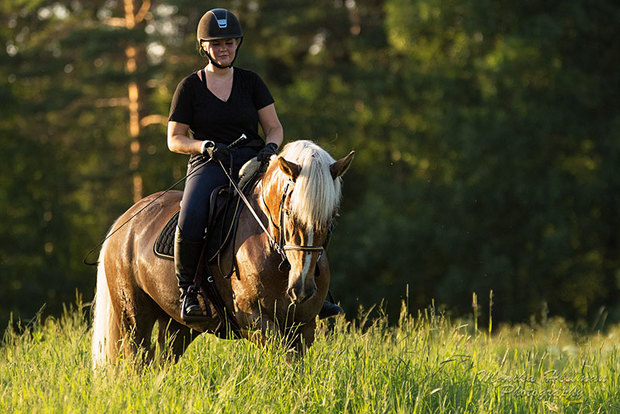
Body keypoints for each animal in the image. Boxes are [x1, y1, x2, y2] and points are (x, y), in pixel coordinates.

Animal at [91, 141, 354, 368]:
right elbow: (286, 360)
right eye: (289, 212)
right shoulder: (254, 319)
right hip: (133, 317)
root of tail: (124, 221)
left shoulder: (304, 324)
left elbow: (296, 368)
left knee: (160, 363)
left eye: (331, 216)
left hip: (178, 325)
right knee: (137, 363)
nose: (302, 288)